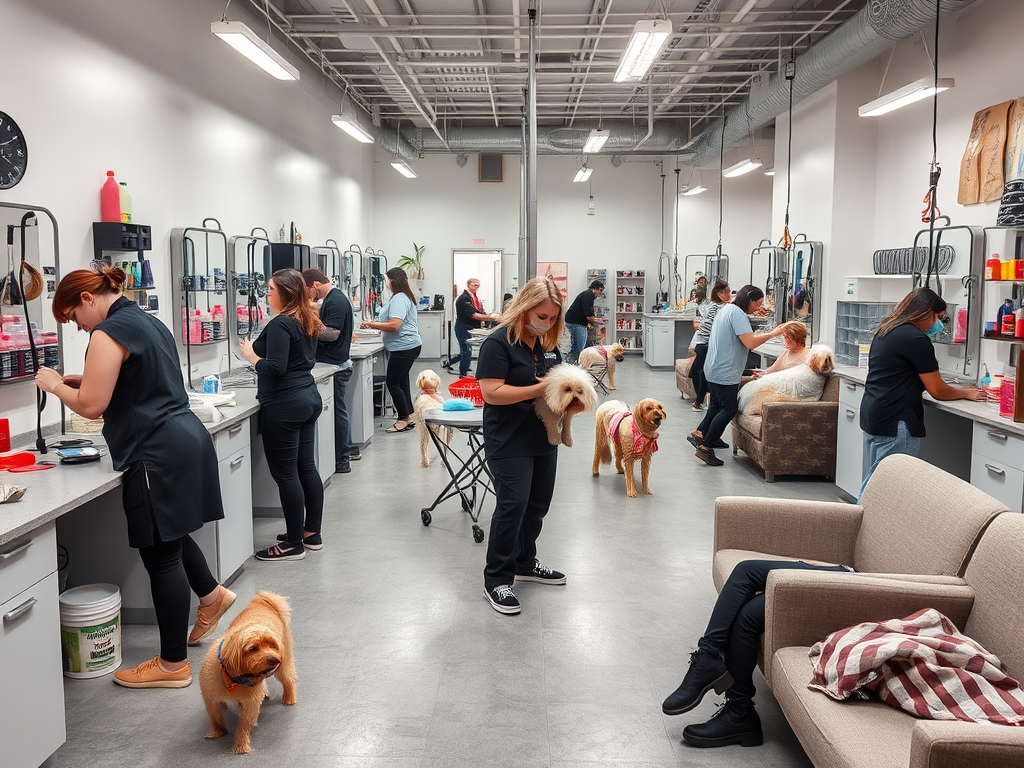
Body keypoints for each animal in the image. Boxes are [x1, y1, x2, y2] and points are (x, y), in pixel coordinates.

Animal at [198, 593, 296, 753]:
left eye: (272, 645)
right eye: (252, 649)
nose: (275, 659)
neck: (234, 679)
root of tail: (266, 601)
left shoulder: (251, 703)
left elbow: (243, 725)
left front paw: (241, 744)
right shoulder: (210, 698)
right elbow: (215, 717)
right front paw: (217, 731)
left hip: (284, 664)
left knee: (289, 679)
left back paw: (289, 698)